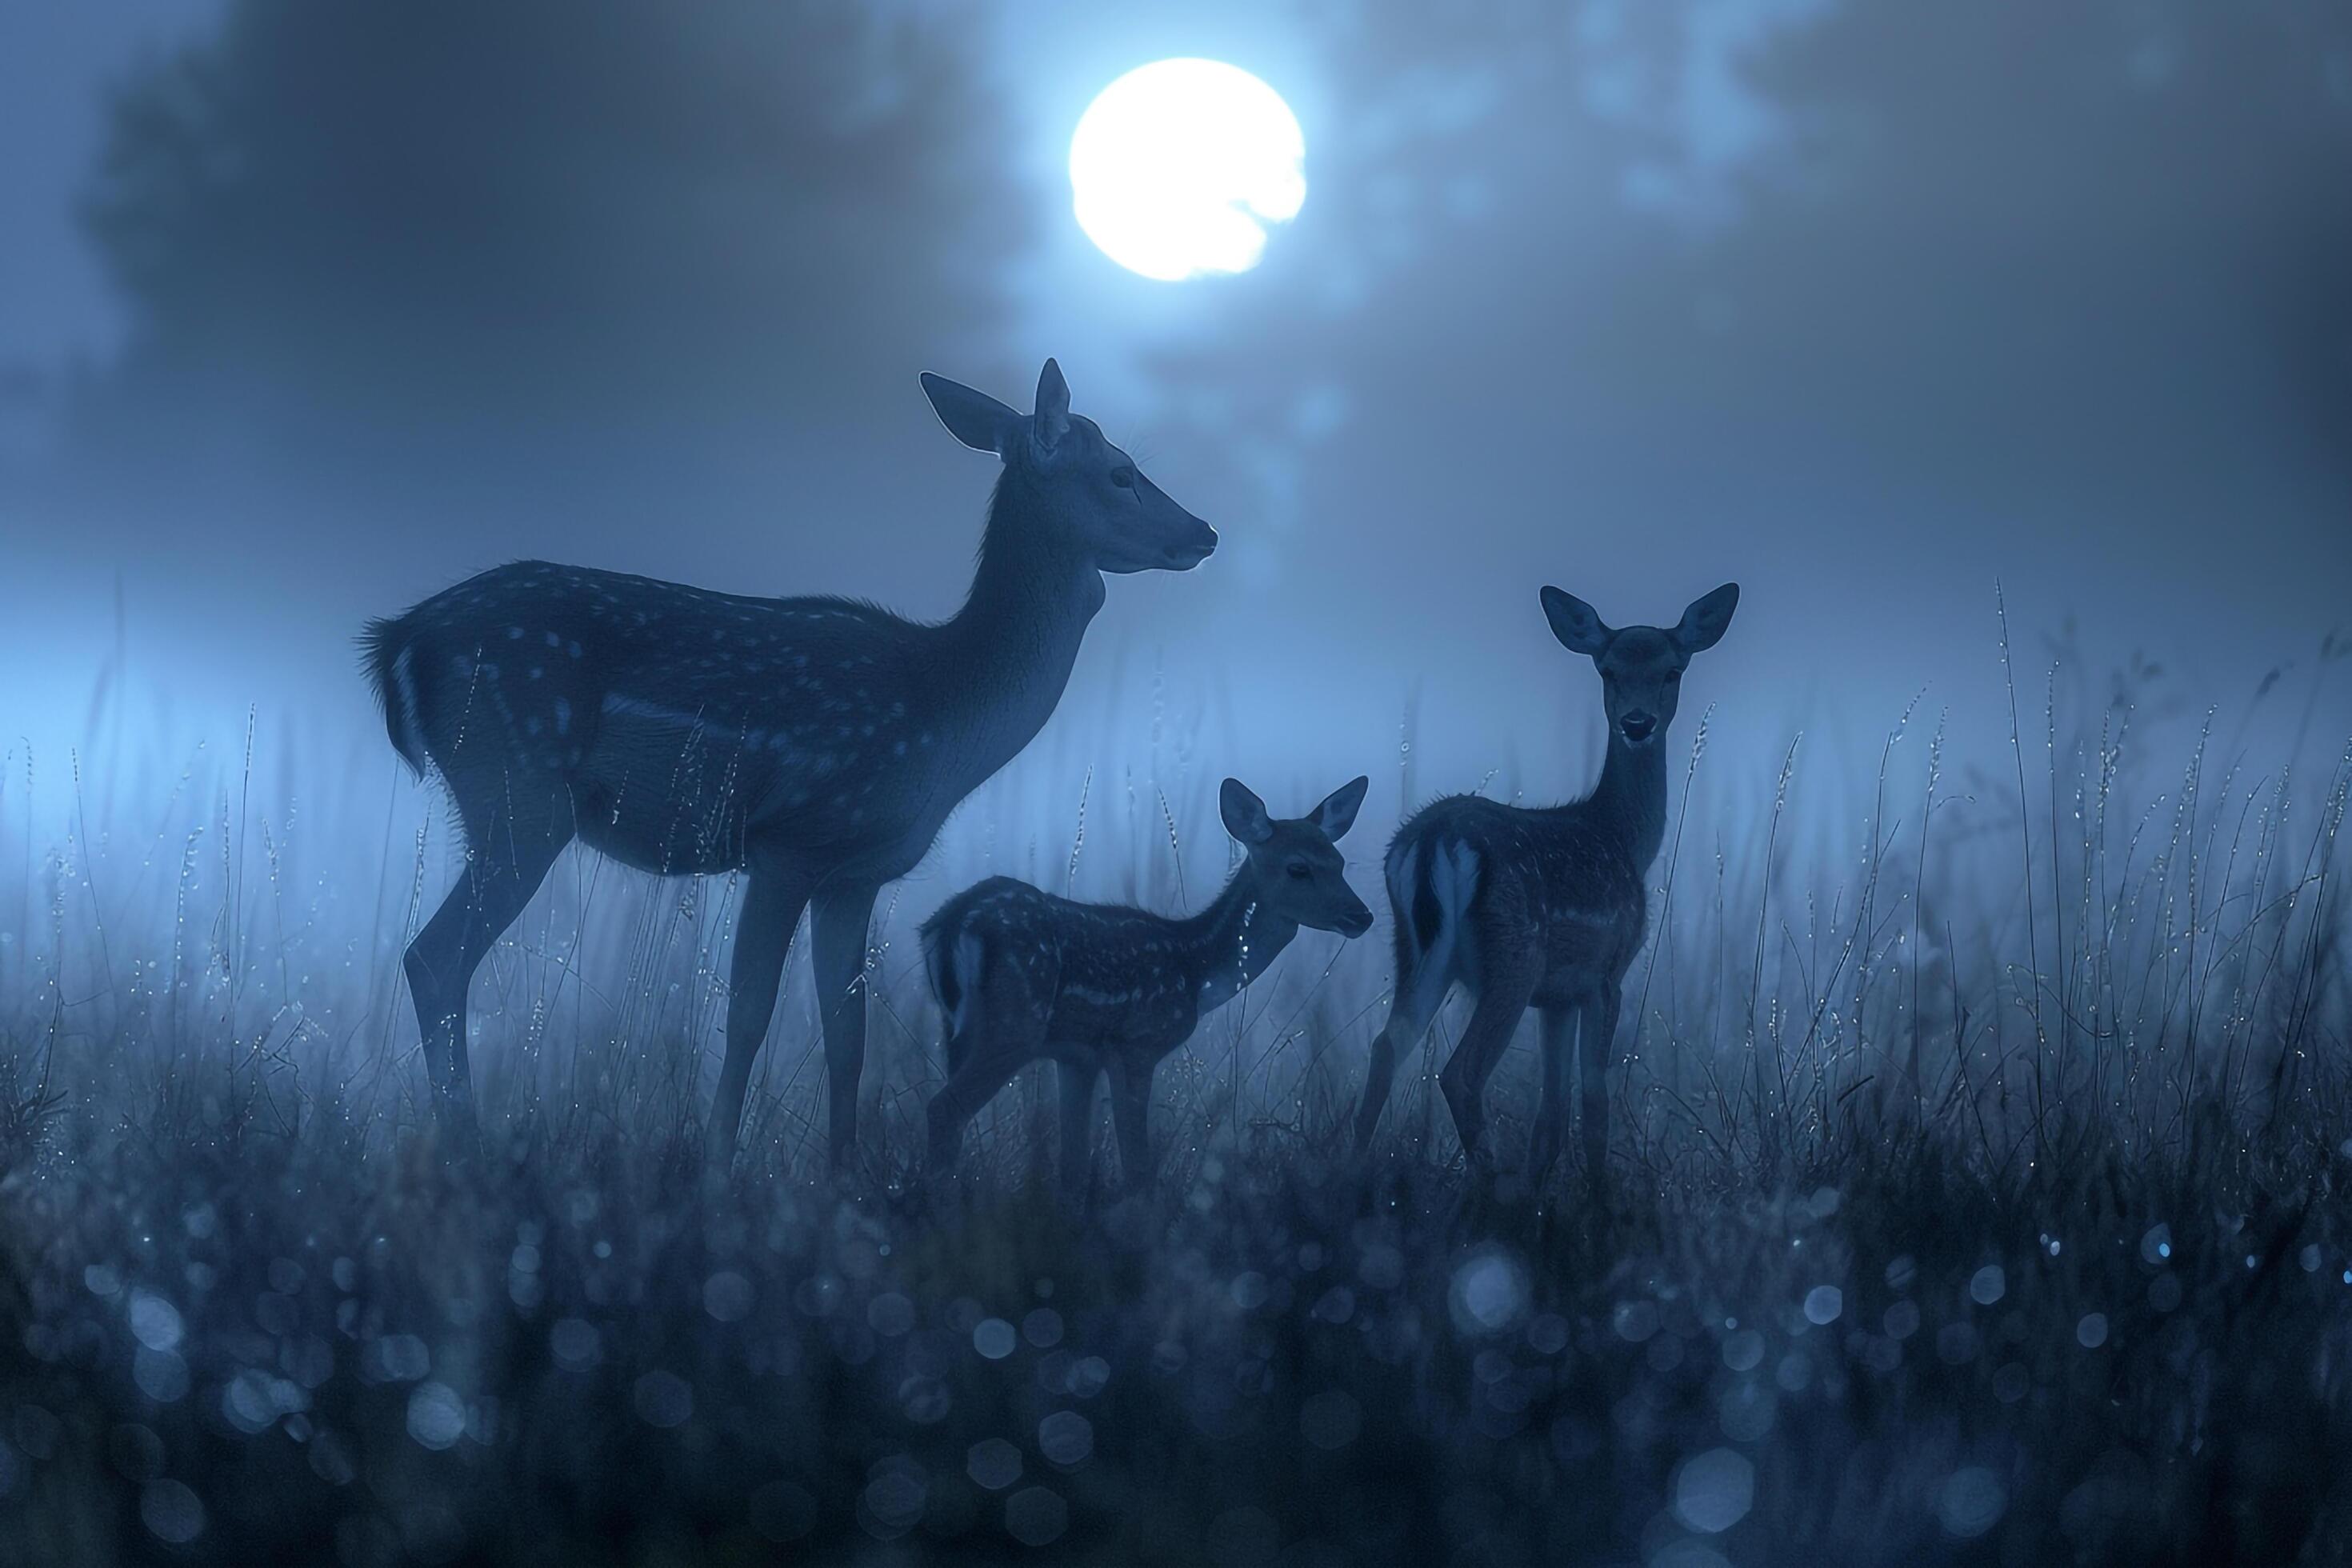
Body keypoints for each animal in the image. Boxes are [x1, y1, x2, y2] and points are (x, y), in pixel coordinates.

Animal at [362, 362, 1232, 1170]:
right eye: (1120, 470)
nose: (1205, 531)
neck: (944, 713)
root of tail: (400, 639)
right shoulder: (789, 843)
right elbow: (750, 1012)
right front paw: (718, 1167)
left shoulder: (855, 874)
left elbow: (849, 1032)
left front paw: (841, 1176)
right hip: (522, 788)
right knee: (434, 959)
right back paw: (467, 1148)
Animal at [912, 770, 1373, 1189]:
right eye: (1298, 868)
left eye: (1340, 863)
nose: (1362, 915)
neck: (1196, 969)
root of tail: (950, 924)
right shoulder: (1137, 1044)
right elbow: (1138, 1170)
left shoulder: (1078, 1055)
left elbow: (1073, 1168)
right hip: (1016, 1023)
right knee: (943, 1110)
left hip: (956, 1028)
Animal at [1354, 582, 1740, 1185]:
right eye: (1608, 670)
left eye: (1672, 670)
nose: (1637, 723)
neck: (1624, 841)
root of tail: (1434, 838)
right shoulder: (1606, 974)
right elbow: (1594, 1105)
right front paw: (1598, 1196)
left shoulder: (1556, 996)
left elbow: (1551, 1116)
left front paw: (1540, 1192)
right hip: (1513, 955)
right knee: (1459, 1074)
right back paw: (1489, 1186)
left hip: (1417, 953)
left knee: (1385, 1050)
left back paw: (1349, 1170)